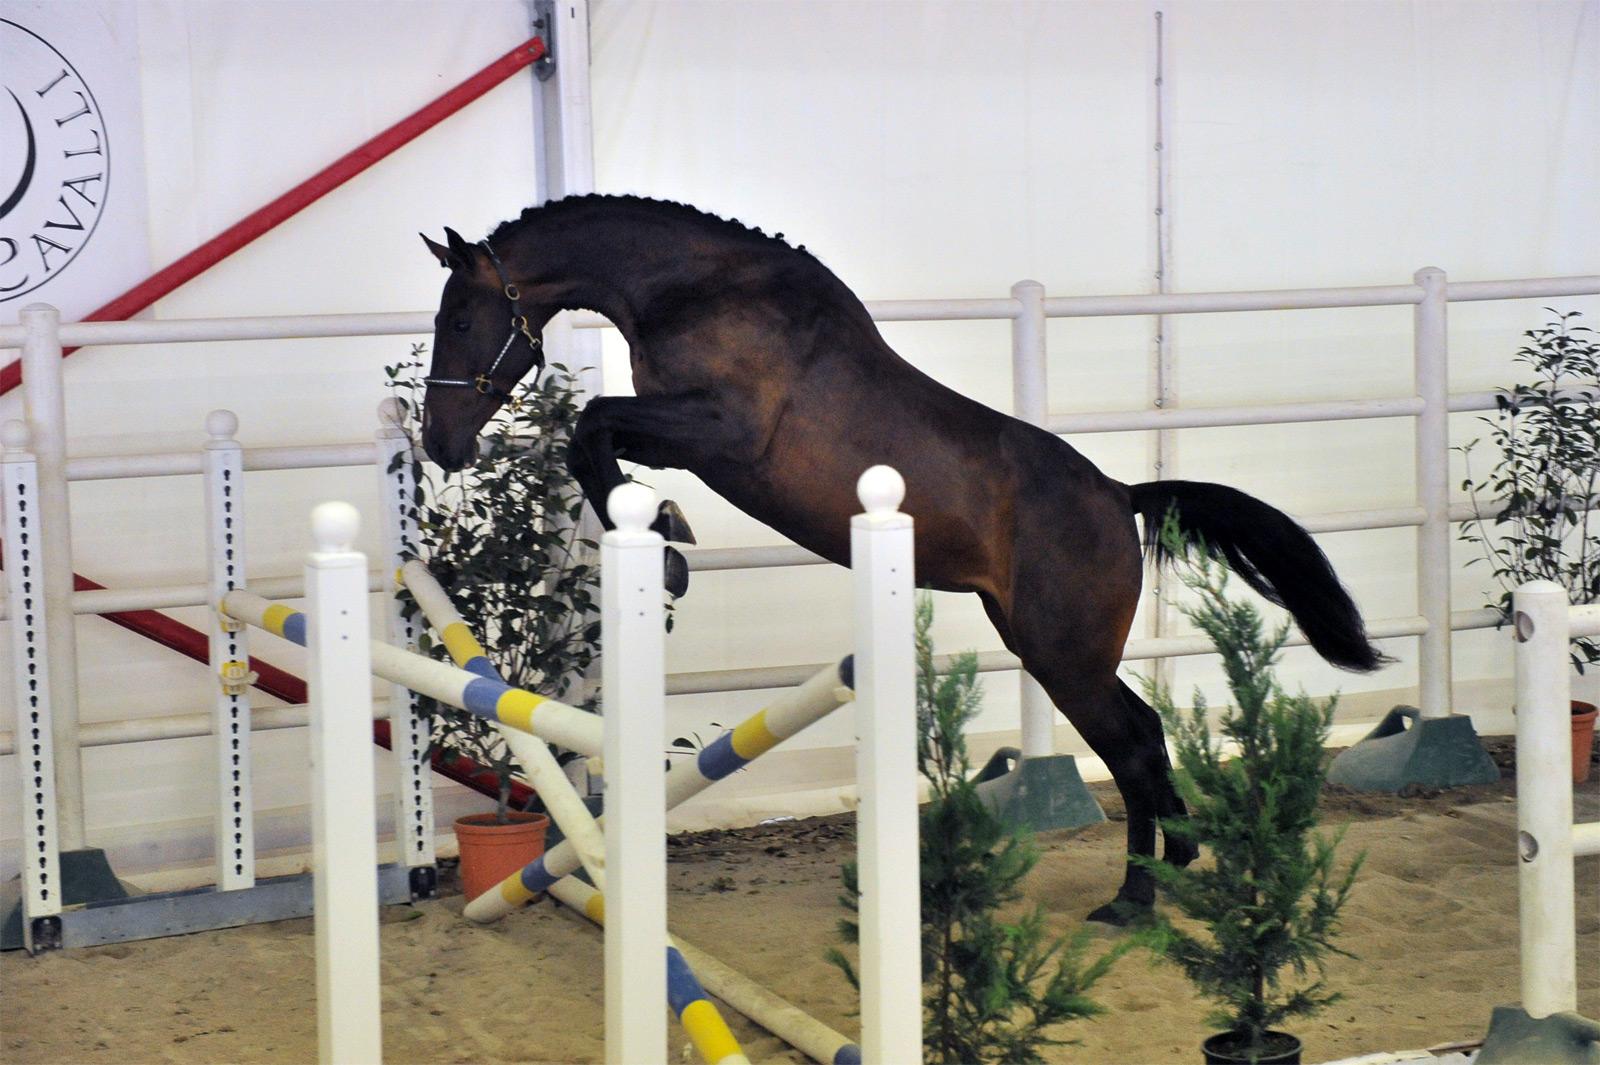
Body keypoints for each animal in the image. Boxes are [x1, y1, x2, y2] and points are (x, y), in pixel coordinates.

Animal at [418, 195, 1386, 924]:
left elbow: (593, 428)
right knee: (1143, 733)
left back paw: (1135, 897)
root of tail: (1119, 495)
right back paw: (1178, 862)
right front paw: (665, 536)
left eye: (461, 316)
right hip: (1055, 648)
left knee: (1135, 747)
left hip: (1064, 655)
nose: (440, 443)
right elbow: (597, 439)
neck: (694, 288)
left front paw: (667, 546)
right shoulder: (687, 431)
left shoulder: (721, 432)